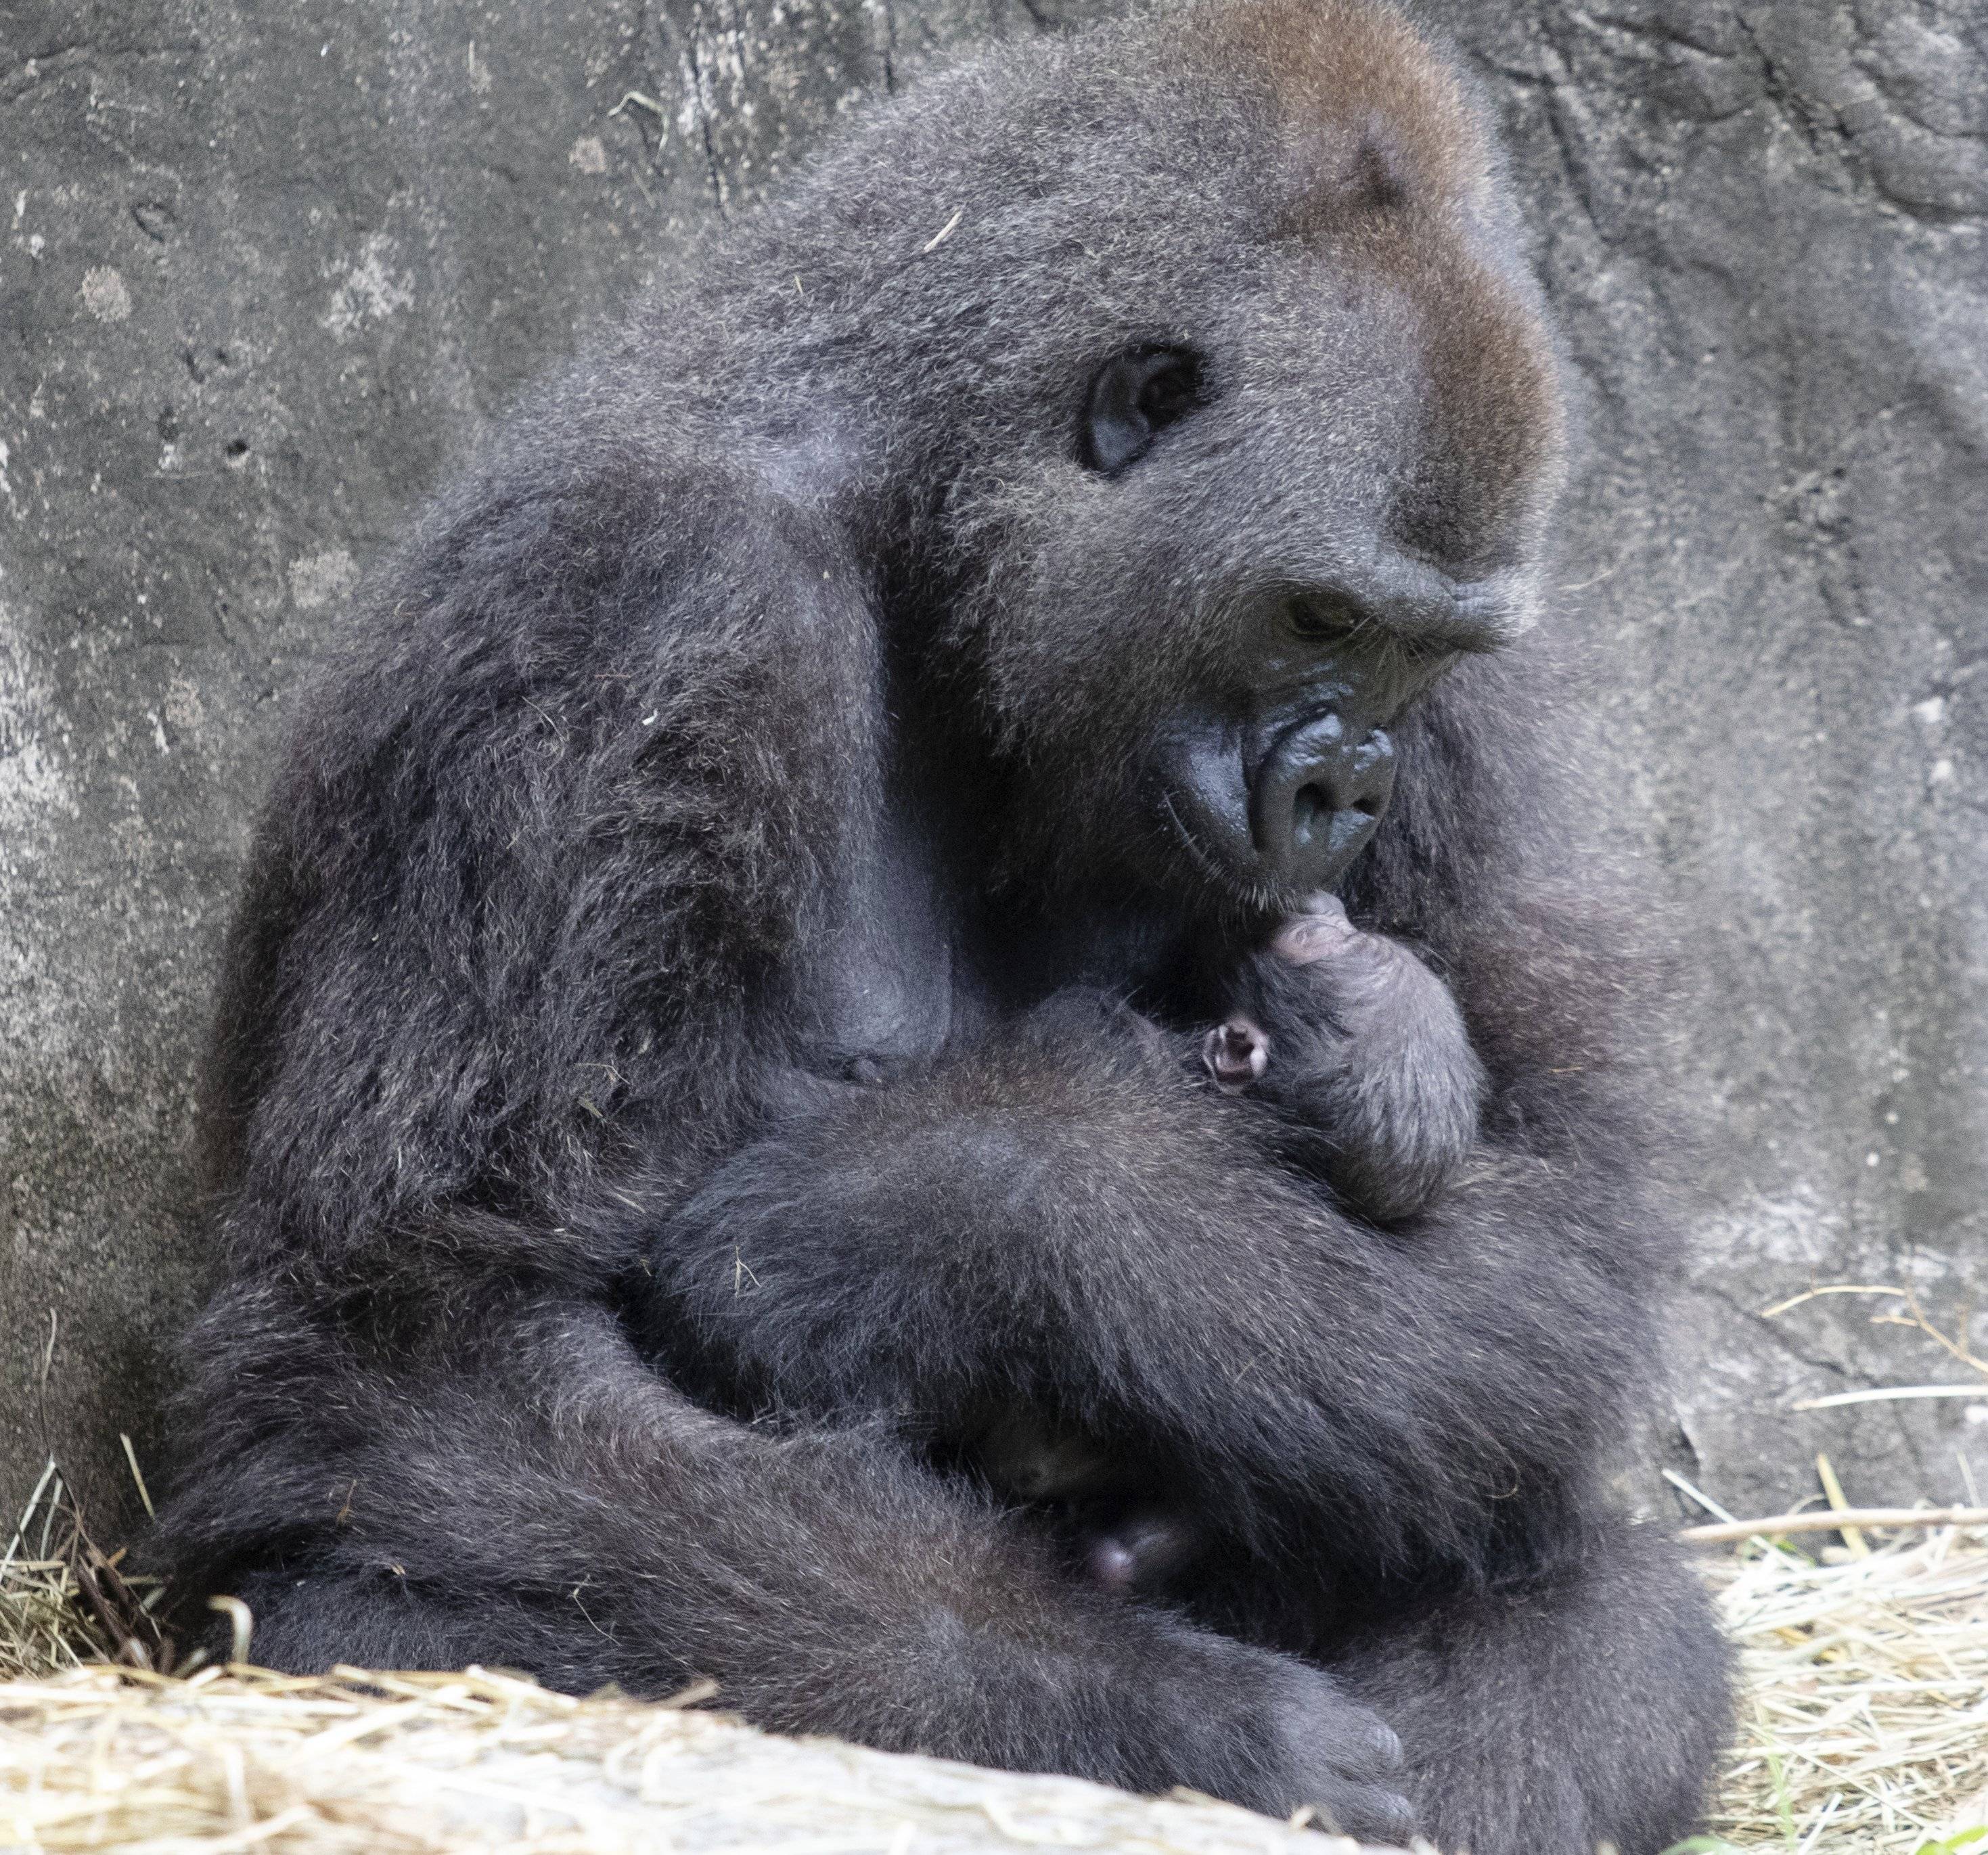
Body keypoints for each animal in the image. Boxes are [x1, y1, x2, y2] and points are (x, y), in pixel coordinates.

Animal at [155, 7, 1733, 1845]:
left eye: (1417, 652)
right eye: (1313, 616)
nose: (1344, 785)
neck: (922, 503)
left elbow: (1559, 1210)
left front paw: (954, 1206)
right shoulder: (634, 599)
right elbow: (418, 1343)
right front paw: (1157, 1709)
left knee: (1610, 1612)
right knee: (376, 1606)